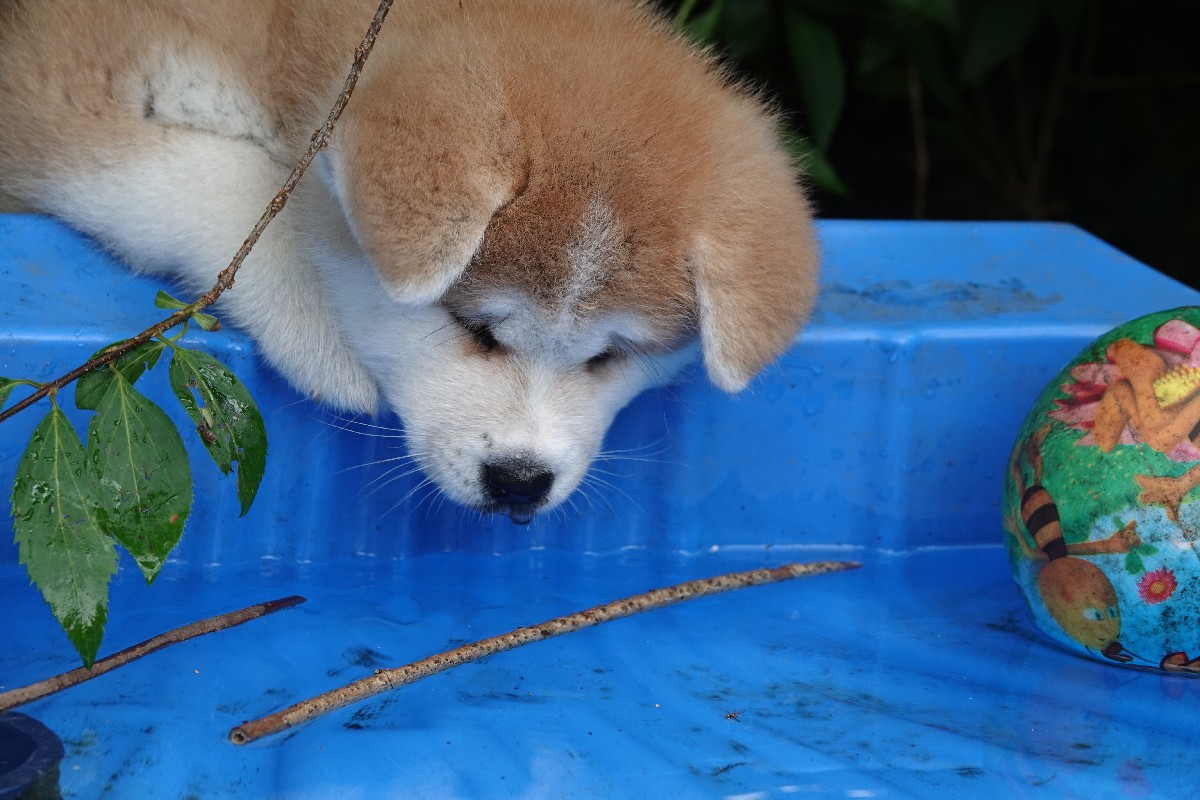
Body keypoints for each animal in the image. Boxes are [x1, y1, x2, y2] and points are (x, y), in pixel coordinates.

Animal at [0, 0, 818, 523]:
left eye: (610, 357)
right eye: (475, 329)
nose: (520, 482)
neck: (281, 35)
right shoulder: (65, 81)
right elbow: (230, 183)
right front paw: (316, 326)